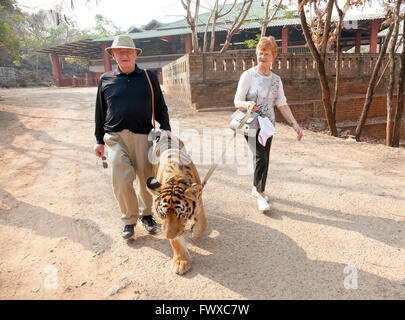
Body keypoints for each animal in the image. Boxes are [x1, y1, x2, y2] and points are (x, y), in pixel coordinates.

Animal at [146, 134, 205, 274]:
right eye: (163, 214)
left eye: (181, 214)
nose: (168, 236)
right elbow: (176, 243)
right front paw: (181, 262)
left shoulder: (199, 204)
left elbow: (202, 225)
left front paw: (194, 231)